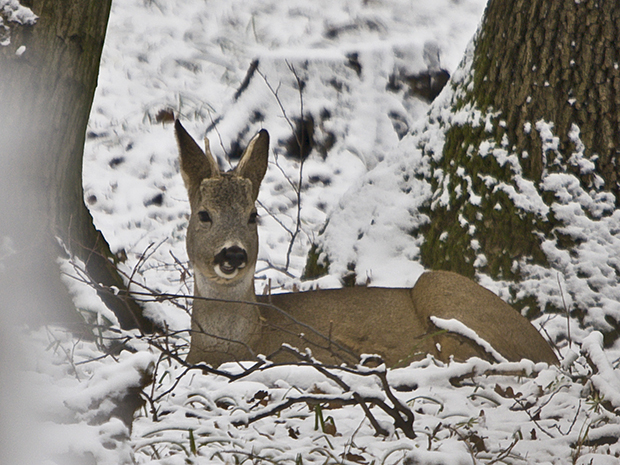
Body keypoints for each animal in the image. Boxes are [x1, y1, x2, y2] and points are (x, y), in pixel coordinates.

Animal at [173, 120, 556, 370]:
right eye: (204, 214)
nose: (233, 252)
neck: (246, 341)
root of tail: (550, 352)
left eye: (253, 215)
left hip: (439, 286)